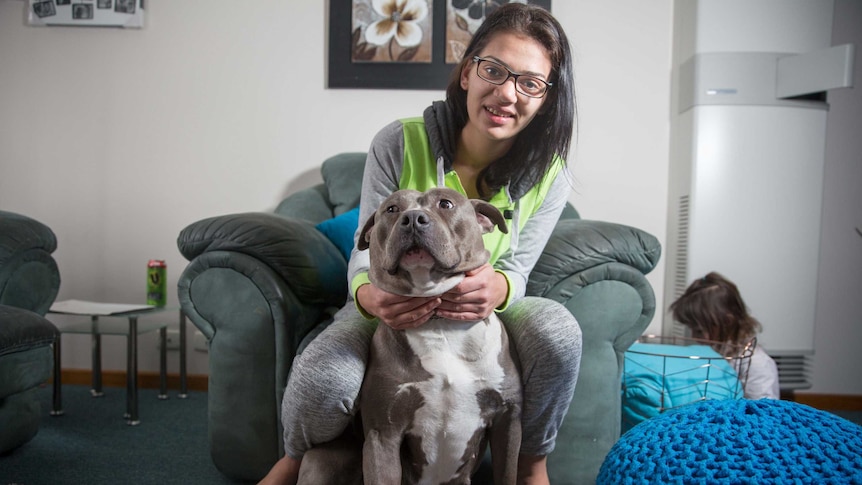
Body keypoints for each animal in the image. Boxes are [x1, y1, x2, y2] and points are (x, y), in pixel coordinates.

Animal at [354, 188, 524, 484]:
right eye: (392, 209)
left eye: (446, 204)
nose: (412, 218)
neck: (440, 324)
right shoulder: (381, 434)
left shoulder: (508, 420)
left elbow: (507, 473)